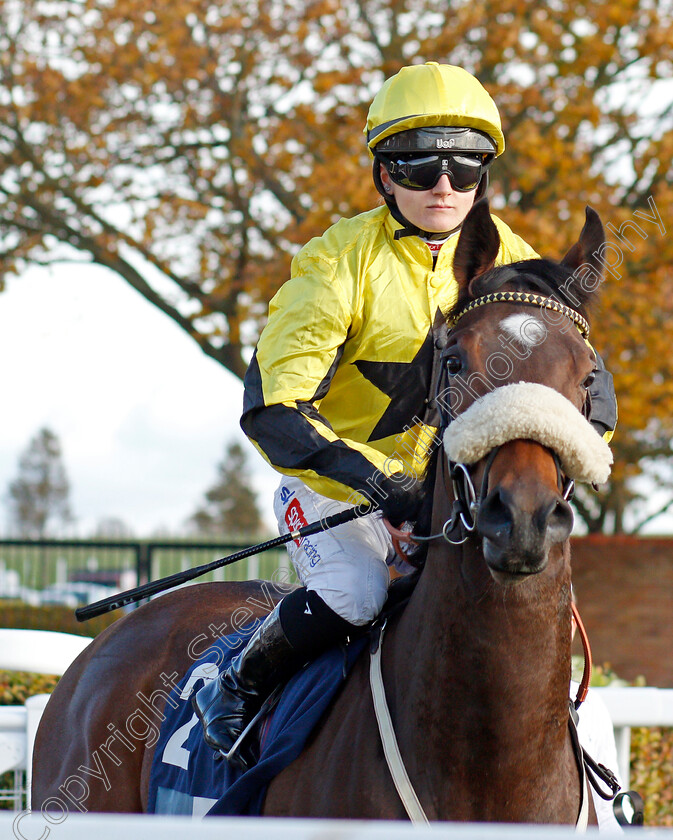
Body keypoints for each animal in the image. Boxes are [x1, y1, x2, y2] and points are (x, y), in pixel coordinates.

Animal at [31, 200, 612, 824]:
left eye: (588, 374)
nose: (522, 517)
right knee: (346, 592)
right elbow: (276, 405)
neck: (489, 765)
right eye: (455, 361)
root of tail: (97, 650)